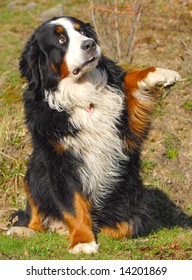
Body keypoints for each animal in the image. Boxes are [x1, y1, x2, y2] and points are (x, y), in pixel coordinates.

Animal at [7, 16, 181, 255]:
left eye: (83, 32)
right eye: (61, 39)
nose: (89, 44)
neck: (82, 92)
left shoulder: (126, 127)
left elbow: (130, 79)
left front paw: (159, 74)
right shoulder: (61, 161)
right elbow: (74, 205)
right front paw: (82, 240)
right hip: (34, 169)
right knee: (34, 211)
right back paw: (25, 230)